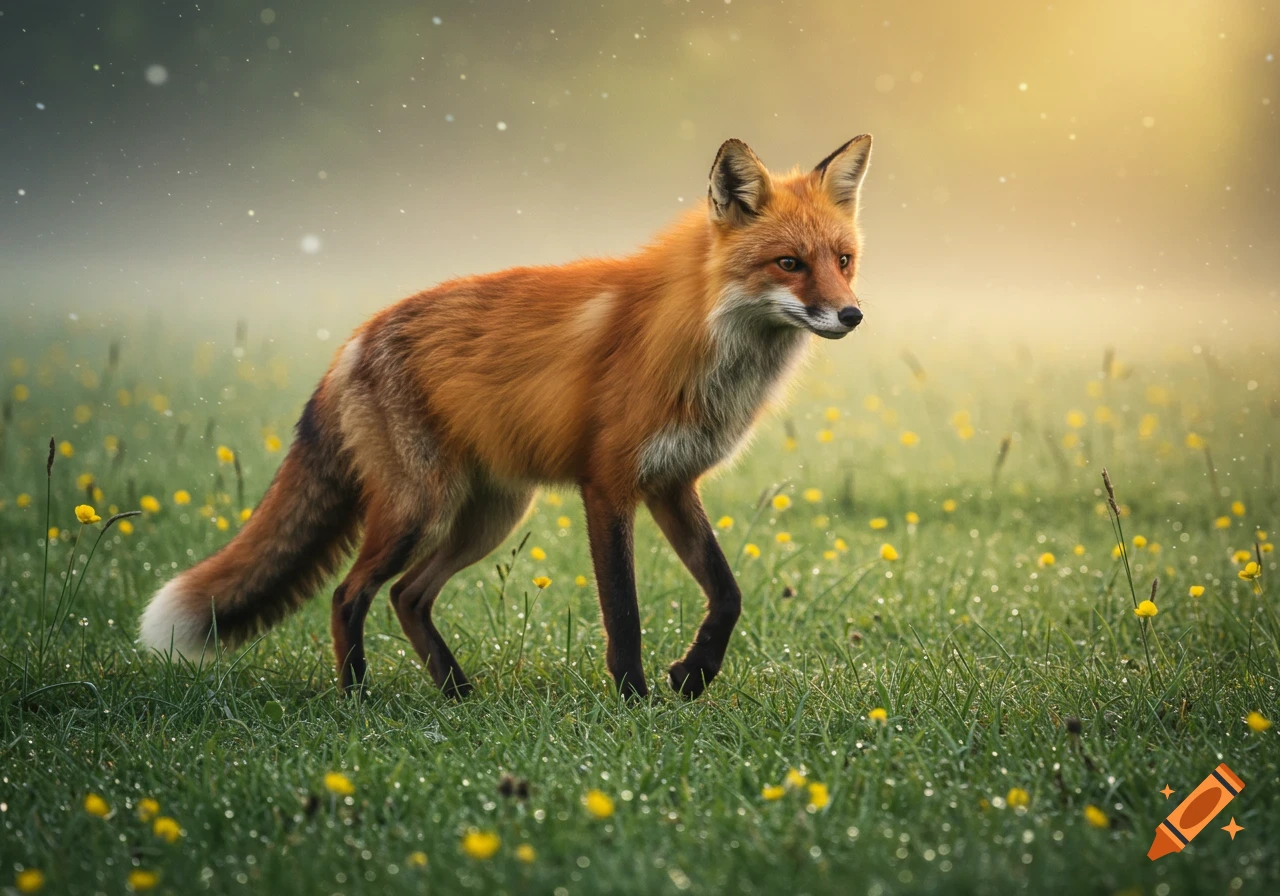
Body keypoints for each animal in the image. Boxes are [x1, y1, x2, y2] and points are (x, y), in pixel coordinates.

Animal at [139, 135, 873, 700]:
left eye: (843, 260)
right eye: (789, 263)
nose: (852, 315)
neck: (700, 338)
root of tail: (354, 339)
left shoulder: (670, 483)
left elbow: (727, 594)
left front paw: (692, 676)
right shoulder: (608, 485)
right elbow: (624, 613)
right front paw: (633, 701)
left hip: (489, 517)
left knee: (408, 596)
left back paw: (456, 693)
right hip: (419, 511)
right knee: (349, 594)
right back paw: (356, 698)